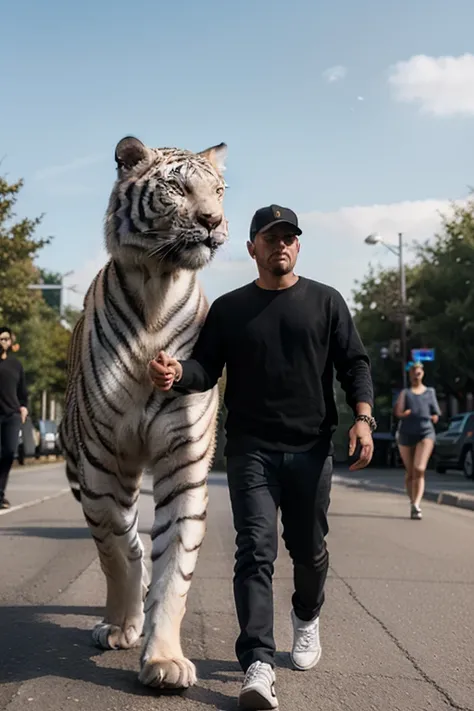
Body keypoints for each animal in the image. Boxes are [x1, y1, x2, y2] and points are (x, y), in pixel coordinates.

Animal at [57, 134, 228, 688]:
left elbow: (175, 563)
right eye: (178, 188)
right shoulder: (102, 462)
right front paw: (122, 625)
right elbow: (117, 548)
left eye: (218, 190)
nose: (214, 220)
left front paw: (164, 658)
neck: (159, 284)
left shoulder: (183, 460)